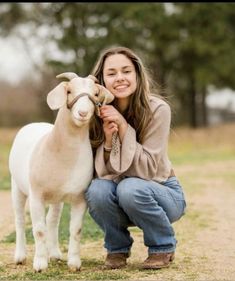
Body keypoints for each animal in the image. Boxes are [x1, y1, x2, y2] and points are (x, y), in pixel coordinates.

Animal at [9, 72, 114, 272]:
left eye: (96, 94)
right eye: (69, 91)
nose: (83, 113)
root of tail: (35, 123)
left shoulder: (80, 198)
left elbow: (76, 230)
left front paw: (74, 263)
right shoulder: (37, 195)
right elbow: (38, 230)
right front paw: (40, 264)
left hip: (57, 198)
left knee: (53, 220)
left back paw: (55, 254)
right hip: (17, 187)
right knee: (19, 220)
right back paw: (20, 256)